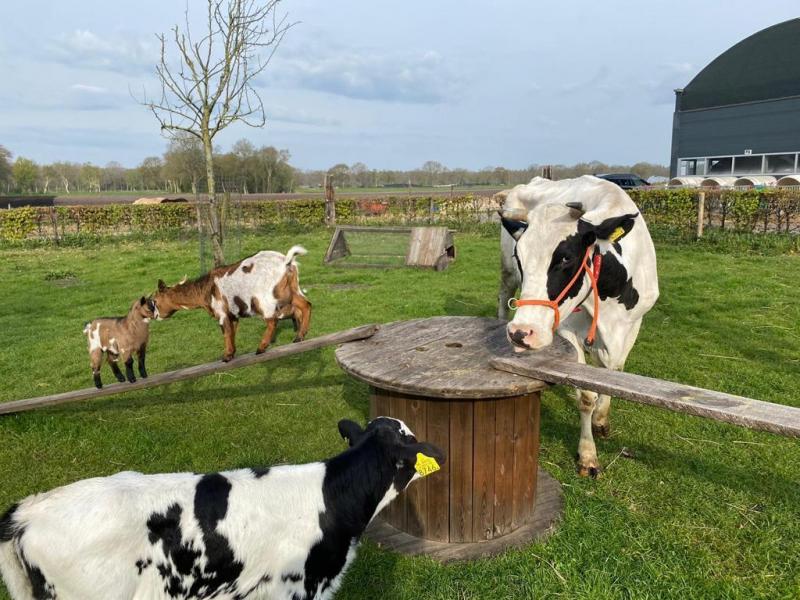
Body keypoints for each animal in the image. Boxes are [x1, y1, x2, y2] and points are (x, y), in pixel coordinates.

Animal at [153, 245, 312, 360]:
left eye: (154, 300)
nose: (155, 316)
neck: (205, 287)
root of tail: (286, 262)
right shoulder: (233, 315)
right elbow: (232, 332)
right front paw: (232, 353)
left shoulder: (221, 312)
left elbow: (226, 332)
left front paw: (227, 356)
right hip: (292, 291)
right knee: (306, 305)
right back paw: (299, 336)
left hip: (264, 299)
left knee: (272, 321)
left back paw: (261, 348)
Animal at [496, 175, 660, 478]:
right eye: (520, 257)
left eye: (565, 258)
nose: (521, 333)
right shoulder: (566, 331)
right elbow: (585, 395)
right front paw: (587, 455)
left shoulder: (634, 323)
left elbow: (613, 374)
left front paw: (602, 419)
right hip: (506, 274)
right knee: (503, 296)